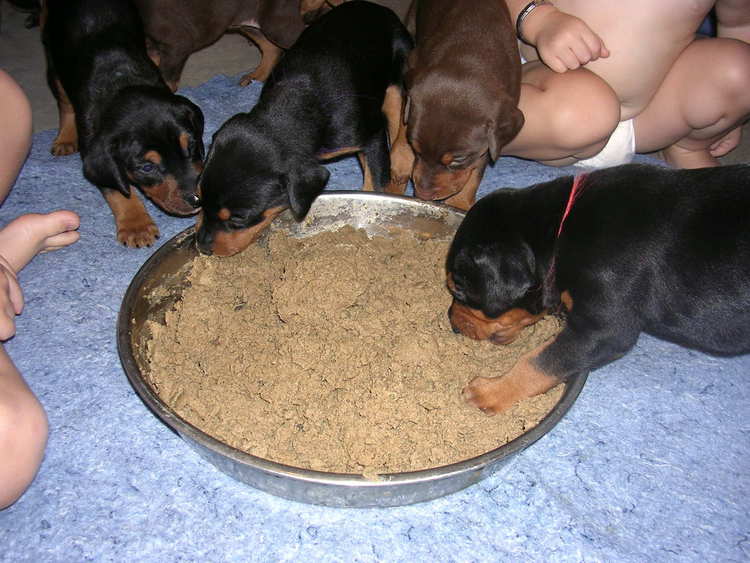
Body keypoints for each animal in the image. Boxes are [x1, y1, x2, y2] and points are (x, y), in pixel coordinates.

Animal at [41, 0, 206, 247]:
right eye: (146, 168)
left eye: (192, 146)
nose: (197, 199)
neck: (122, 83)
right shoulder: (94, 150)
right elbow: (117, 190)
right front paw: (136, 226)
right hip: (54, 61)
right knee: (64, 101)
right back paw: (65, 138)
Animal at [197, 1, 414, 256]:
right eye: (198, 198)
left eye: (239, 218)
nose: (201, 247)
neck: (297, 101)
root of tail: (375, 6)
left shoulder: (371, 138)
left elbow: (374, 184)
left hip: (400, 72)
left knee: (401, 115)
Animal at [446, 163, 750, 414]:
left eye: (458, 289)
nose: (451, 323)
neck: (562, 231)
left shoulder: (604, 331)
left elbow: (539, 361)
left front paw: (488, 392)